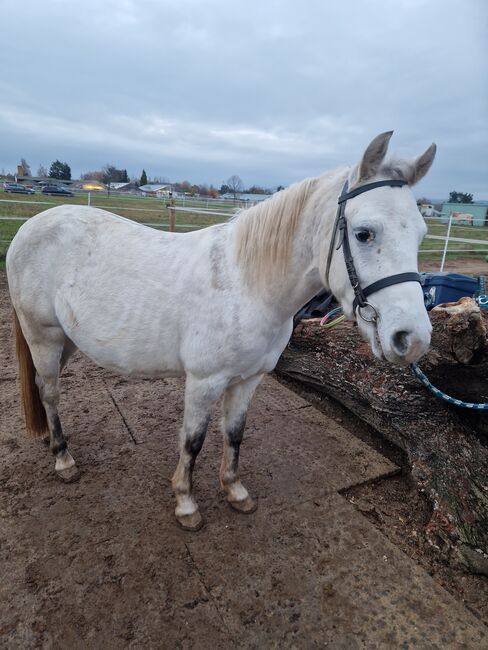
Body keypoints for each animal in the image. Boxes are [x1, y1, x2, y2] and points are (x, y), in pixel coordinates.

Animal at [6, 132, 434, 528]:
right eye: (364, 233)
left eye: (420, 234)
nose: (412, 339)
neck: (248, 284)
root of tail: (29, 227)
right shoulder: (204, 381)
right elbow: (193, 441)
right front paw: (186, 503)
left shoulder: (248, 380)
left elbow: (234, 433)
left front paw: (235, 491)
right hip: (43, 336)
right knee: (50, 391)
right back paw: (63, 459)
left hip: (66, 341)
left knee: (45, 390)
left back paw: (52, 441)